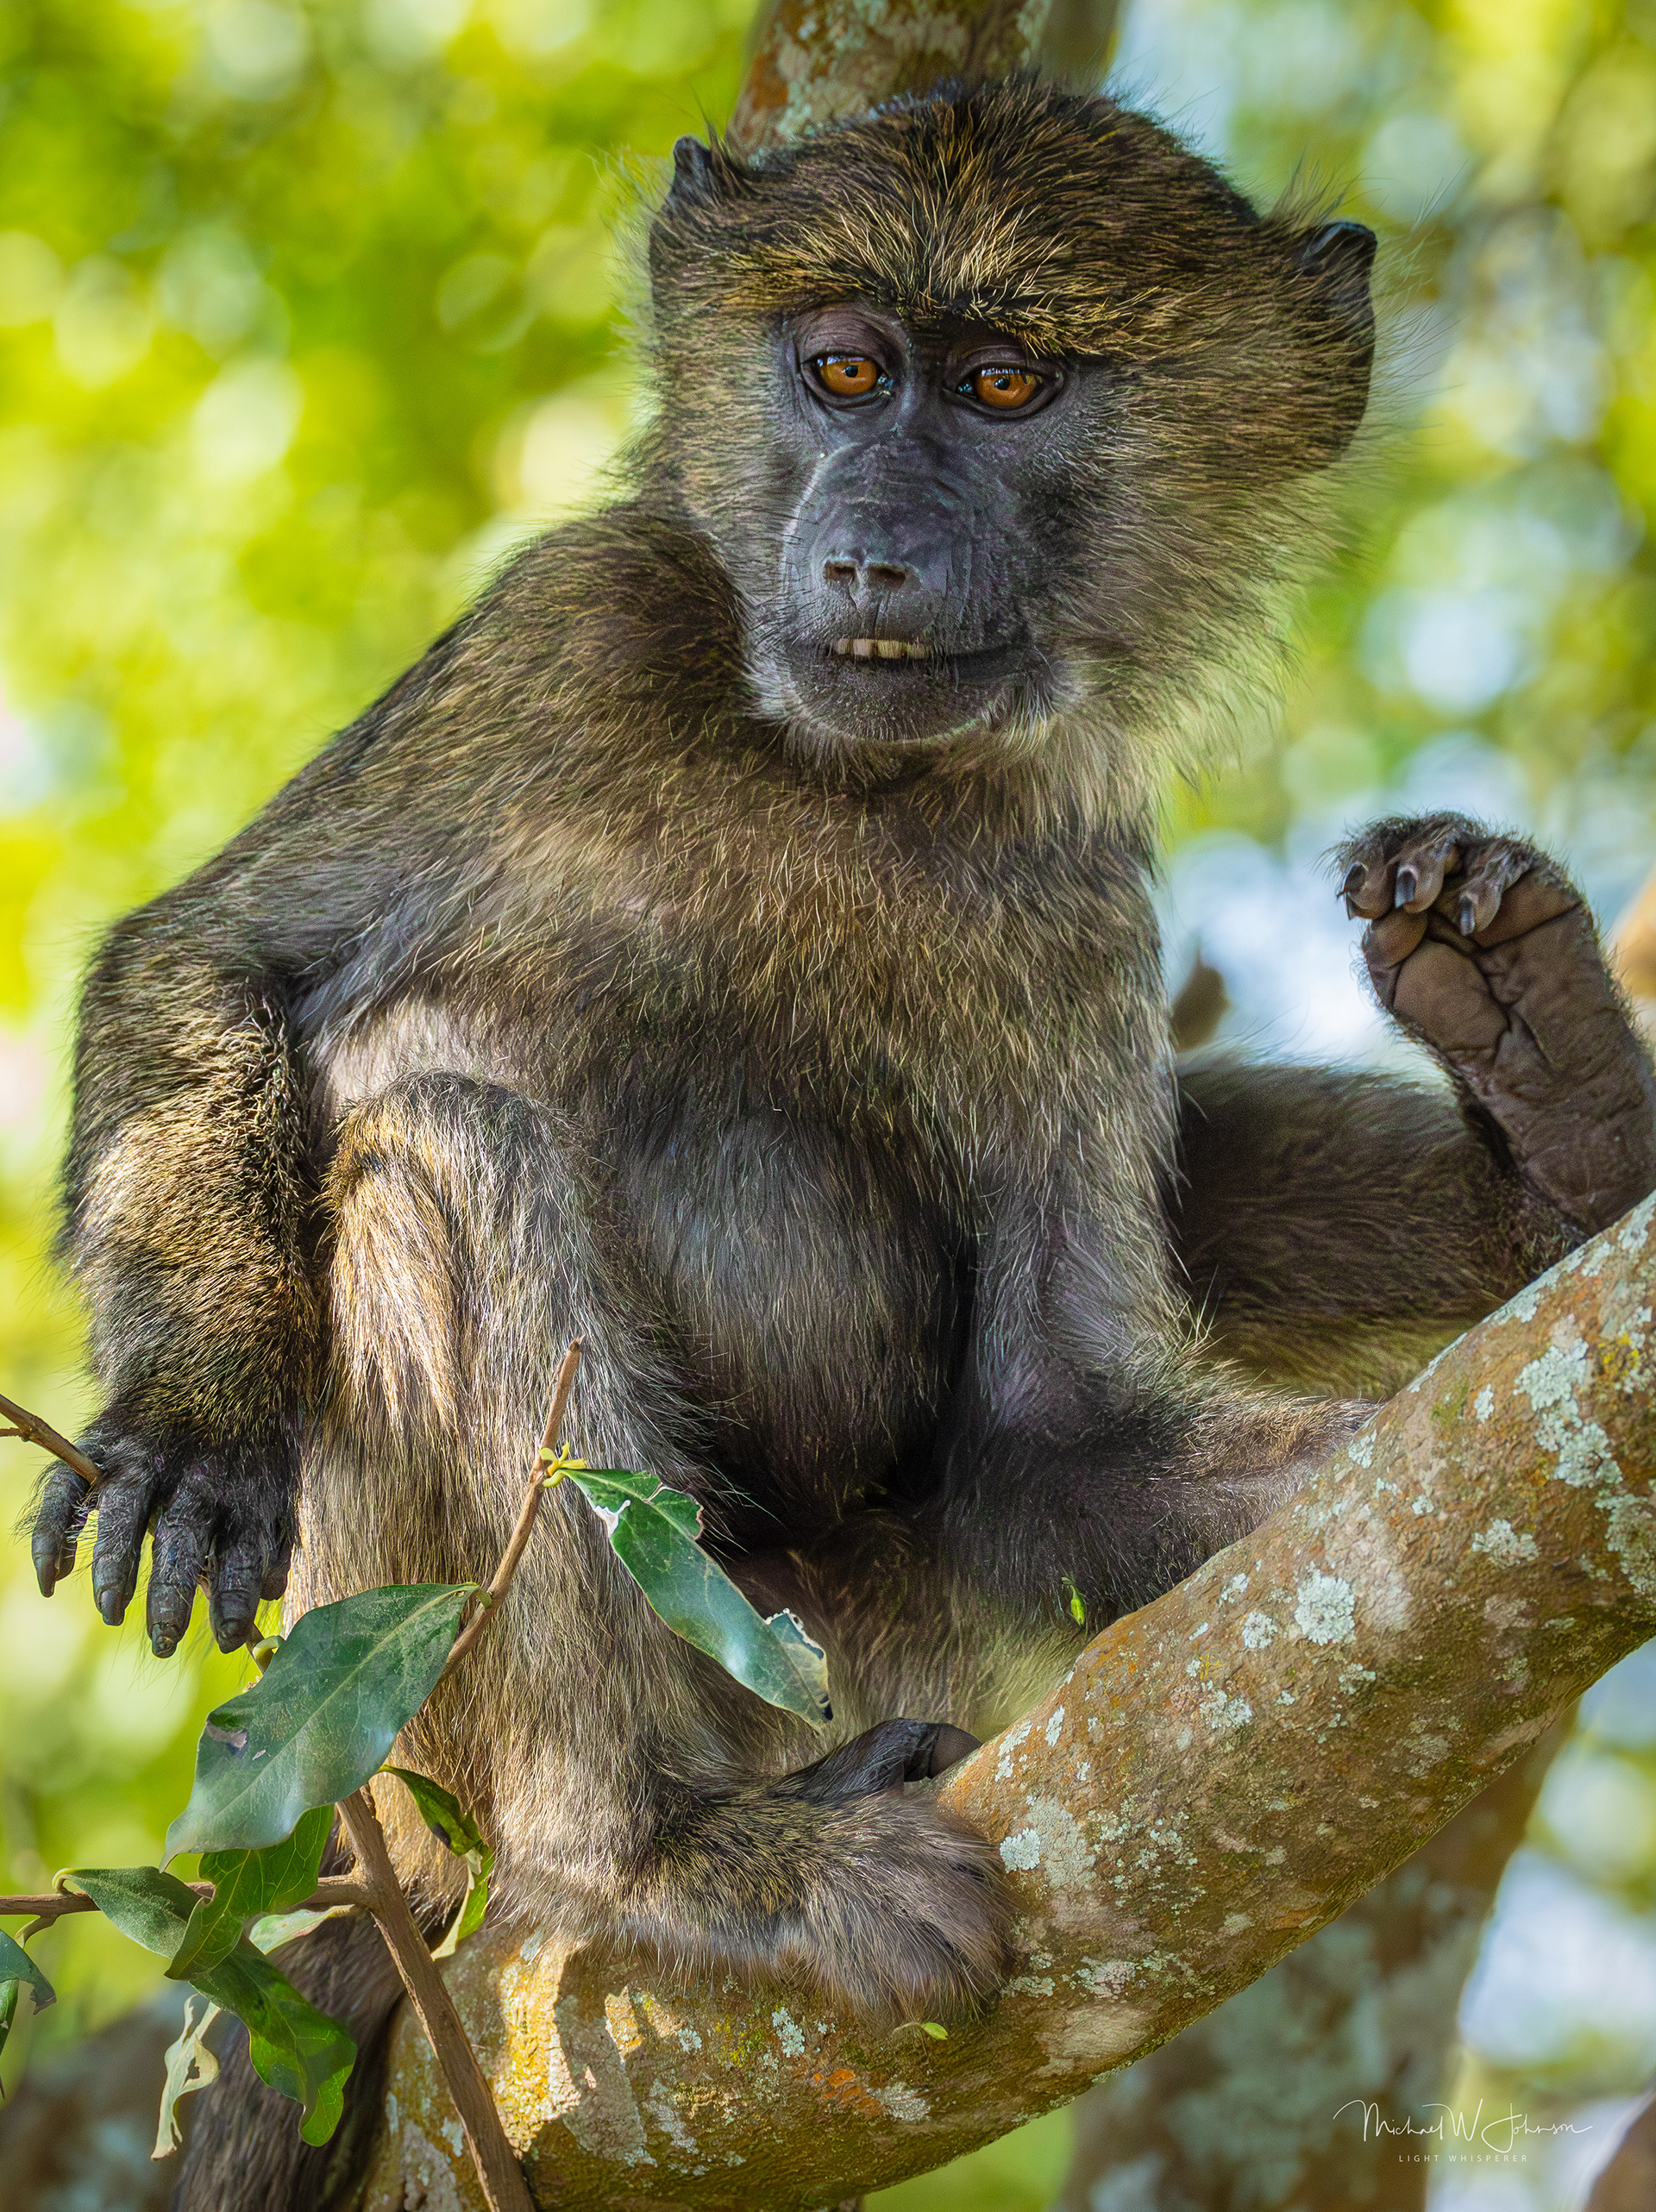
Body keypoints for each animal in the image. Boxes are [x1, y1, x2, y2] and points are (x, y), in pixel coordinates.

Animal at [19, 75, 1656, 2210]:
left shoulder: (1069, 883)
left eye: (1008, 381)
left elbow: (1054, 1446)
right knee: (437, 1124)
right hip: (457, 1710)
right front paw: (197, 1421)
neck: (828, 775)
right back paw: (658, 1850)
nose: (871, 557)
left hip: (851, 1633)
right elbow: (209, 958)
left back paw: (1560, 1124)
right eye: (847, 369)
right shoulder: (562, 634)